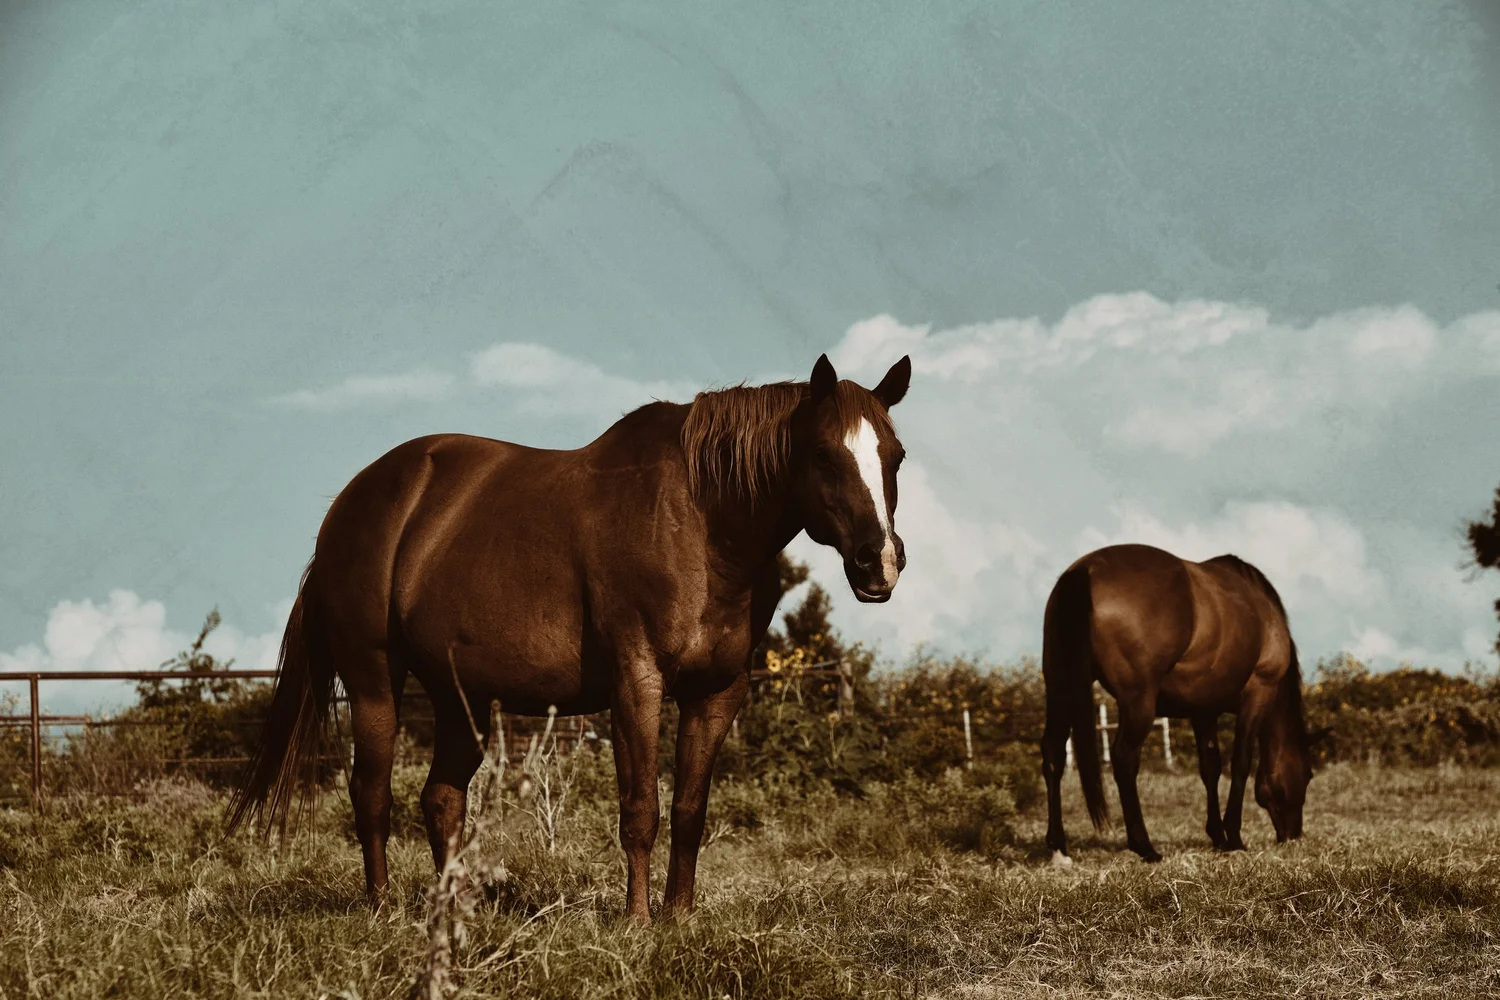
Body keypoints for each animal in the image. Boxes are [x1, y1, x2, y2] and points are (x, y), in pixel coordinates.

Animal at [226, 353, 912, 920]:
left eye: (895, 455)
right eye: (823, 454)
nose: (879, 562)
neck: (699, 524)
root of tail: (350, 503)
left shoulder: (719, 693)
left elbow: (690, 812)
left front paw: (679, 917)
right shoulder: (636, 684)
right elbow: (641, 810)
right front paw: (638, 922)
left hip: (459, 697)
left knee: (441, 800)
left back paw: (452, 912)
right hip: (374, 681)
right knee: (371, 795)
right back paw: (383, 910)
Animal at [1040, 543, 1326, 864]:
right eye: (1308, 775)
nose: (1293, 835)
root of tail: (1085, 570)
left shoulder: (1204, 710)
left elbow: (1210, 768)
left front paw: (1218, 836)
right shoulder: (1258, 693)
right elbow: (1240, 763)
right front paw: (1235, 837)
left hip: (1060, 688)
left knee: (1053, 754)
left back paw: (1058, 847)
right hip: (1138, 702)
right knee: (1124, 758)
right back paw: (1144, 846)